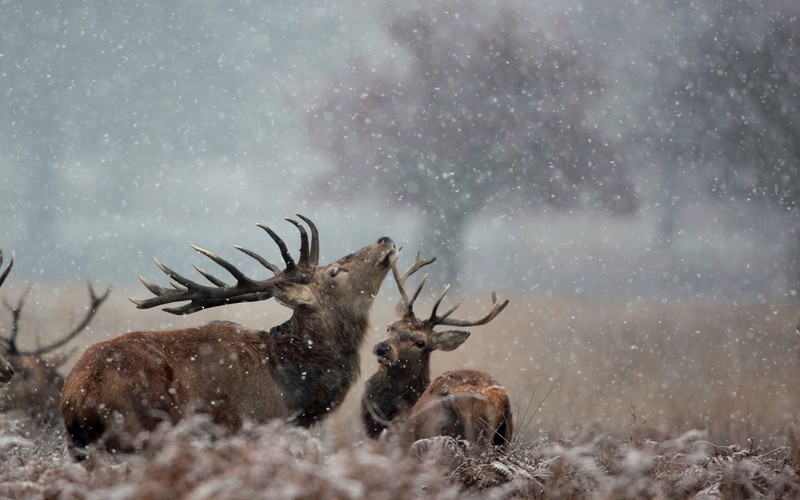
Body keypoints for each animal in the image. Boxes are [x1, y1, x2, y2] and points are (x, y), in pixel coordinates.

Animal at [61, 215, 398, 458]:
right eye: (335, 271)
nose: (385, 239)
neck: (292, 391)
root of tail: (79, 395)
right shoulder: (251, 429)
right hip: (141, 434)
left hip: (80, 449)